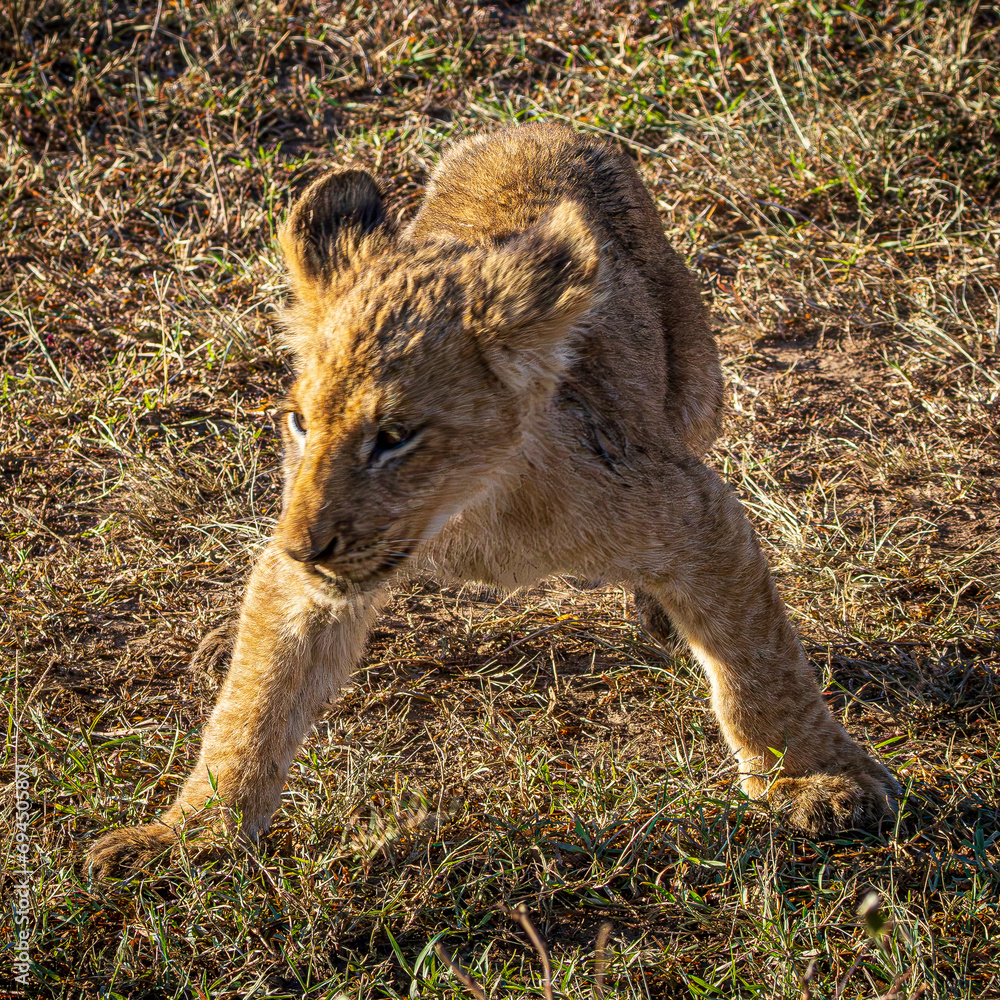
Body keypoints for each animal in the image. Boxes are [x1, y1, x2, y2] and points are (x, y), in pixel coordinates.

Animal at [87, 123, 899, 877]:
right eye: (300, 421)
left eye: (394, 436)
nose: (302, 546)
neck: (470, 514)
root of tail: (537, 128)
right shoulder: (311, 574)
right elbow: (255, 702)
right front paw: (189, 837)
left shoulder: (688, 502)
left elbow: (760, 659)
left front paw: (819, 780)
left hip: (695, 393)